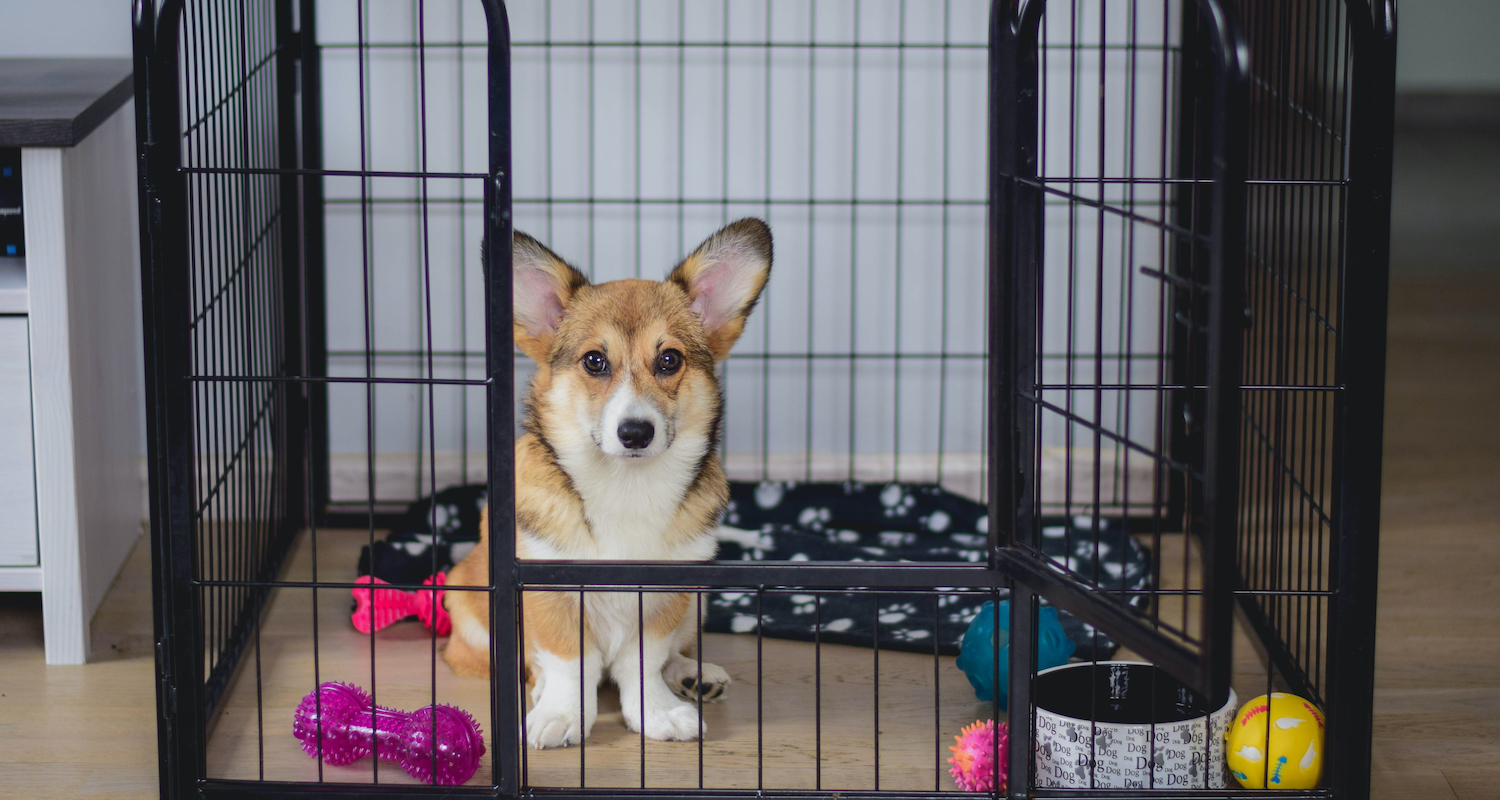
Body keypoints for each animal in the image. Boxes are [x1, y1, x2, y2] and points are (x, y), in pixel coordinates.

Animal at [441, 214, 774, 744]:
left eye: (669, 360)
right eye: (594, 361)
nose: (635, 432)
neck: (626, 485)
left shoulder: (665, 597)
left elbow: (645, 662)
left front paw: (657, 712)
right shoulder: (549, 591)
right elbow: (567, 663)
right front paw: (560, 716)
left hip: (697, 604)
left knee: (672, 655)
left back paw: (693, 675)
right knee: (529, 665)